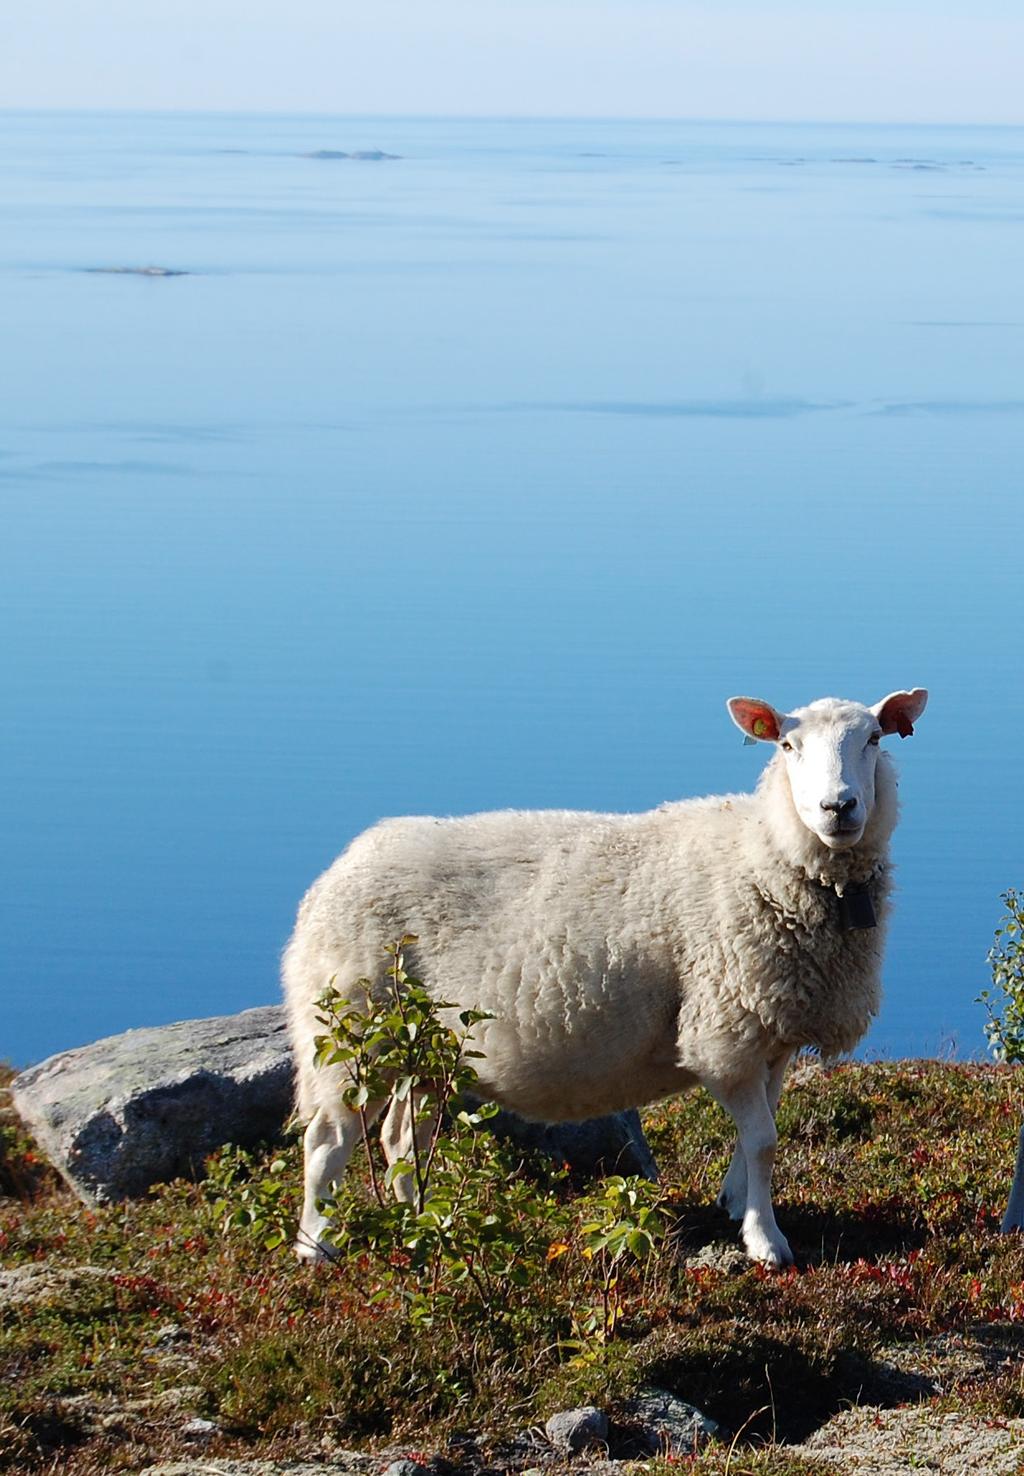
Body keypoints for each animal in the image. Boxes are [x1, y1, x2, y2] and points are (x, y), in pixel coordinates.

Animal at [283, 684, 932, 1263]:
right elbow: (765, 1142)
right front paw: (765, 1241)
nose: (838, 808)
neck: (763, 858)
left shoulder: (771, 1028)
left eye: (874, 739)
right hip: (351, 1028)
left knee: (400, 1137)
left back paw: (419, 1223)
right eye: (788, 746)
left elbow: (759, 1136)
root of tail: (339, 868)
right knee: (328, 1139)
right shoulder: (724, 1026)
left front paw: (736, 1202)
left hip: (420, 1040)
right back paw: (318, 1246)